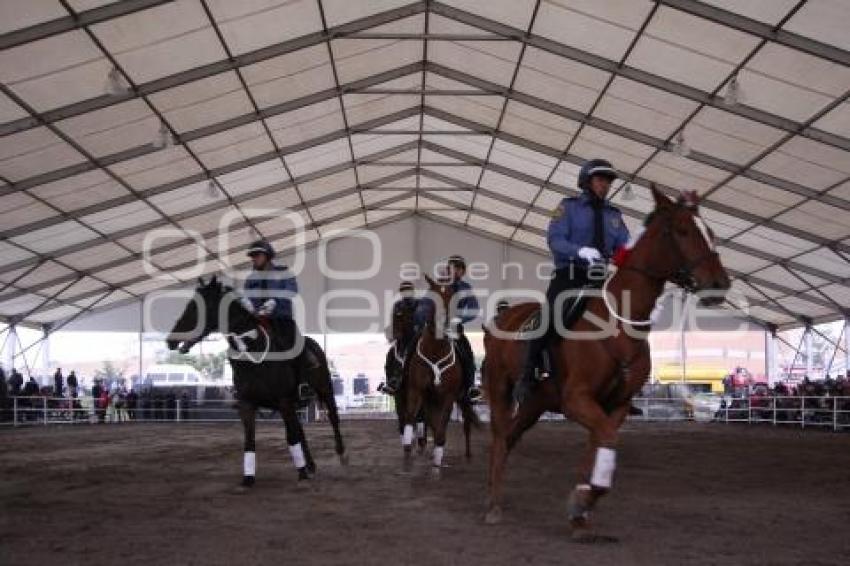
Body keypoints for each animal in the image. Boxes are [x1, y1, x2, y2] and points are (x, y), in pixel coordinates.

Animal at [166, 278, 344, 490]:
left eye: (198, 306)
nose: (171, 341)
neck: (253, 350)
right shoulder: (247, 404)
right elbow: (250, 441)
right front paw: (248, 478)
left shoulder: (284, 401)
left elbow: (291, 437)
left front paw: (301, 475)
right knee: (299, 429)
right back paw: (310, 465)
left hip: (324, 390)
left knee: (332, 418)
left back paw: (340, 455)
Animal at [400, 278, 476, 478]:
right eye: (432, 299)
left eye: (452, 296)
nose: (443, 321)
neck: (435, 351)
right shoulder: (416, 390)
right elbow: (411, 417)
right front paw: (408, 445)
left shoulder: (448, 396)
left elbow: (442, 429)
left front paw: (437, 461)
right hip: (430, 399)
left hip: (460, 399)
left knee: (465, 425)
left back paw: (467, 453)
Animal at [484, 185, 728, 540]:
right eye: (683, 230)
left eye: (709, 232)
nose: (720, 284)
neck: (618, 323)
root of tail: (501, 317)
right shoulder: (577, 400)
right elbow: (607, 442)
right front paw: (583, 502)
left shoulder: (616, 406)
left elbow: (599, 449)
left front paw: (580, 511)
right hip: (501, 389)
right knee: (500, 439)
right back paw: (493, 504)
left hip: (536, 402)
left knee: (511, 436)